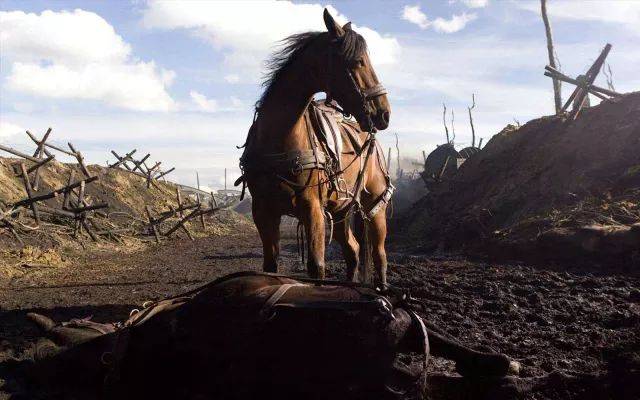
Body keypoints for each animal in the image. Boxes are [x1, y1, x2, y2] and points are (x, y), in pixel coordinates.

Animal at [238, 7, 392, 286]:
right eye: (358, 61)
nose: (383, 113)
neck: (278, 140)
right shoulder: (263, 211)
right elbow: (270, 266)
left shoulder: (313, 209)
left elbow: (316, 267)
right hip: (342, 210)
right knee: (353, 250)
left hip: (374, 206)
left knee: (379, 255)